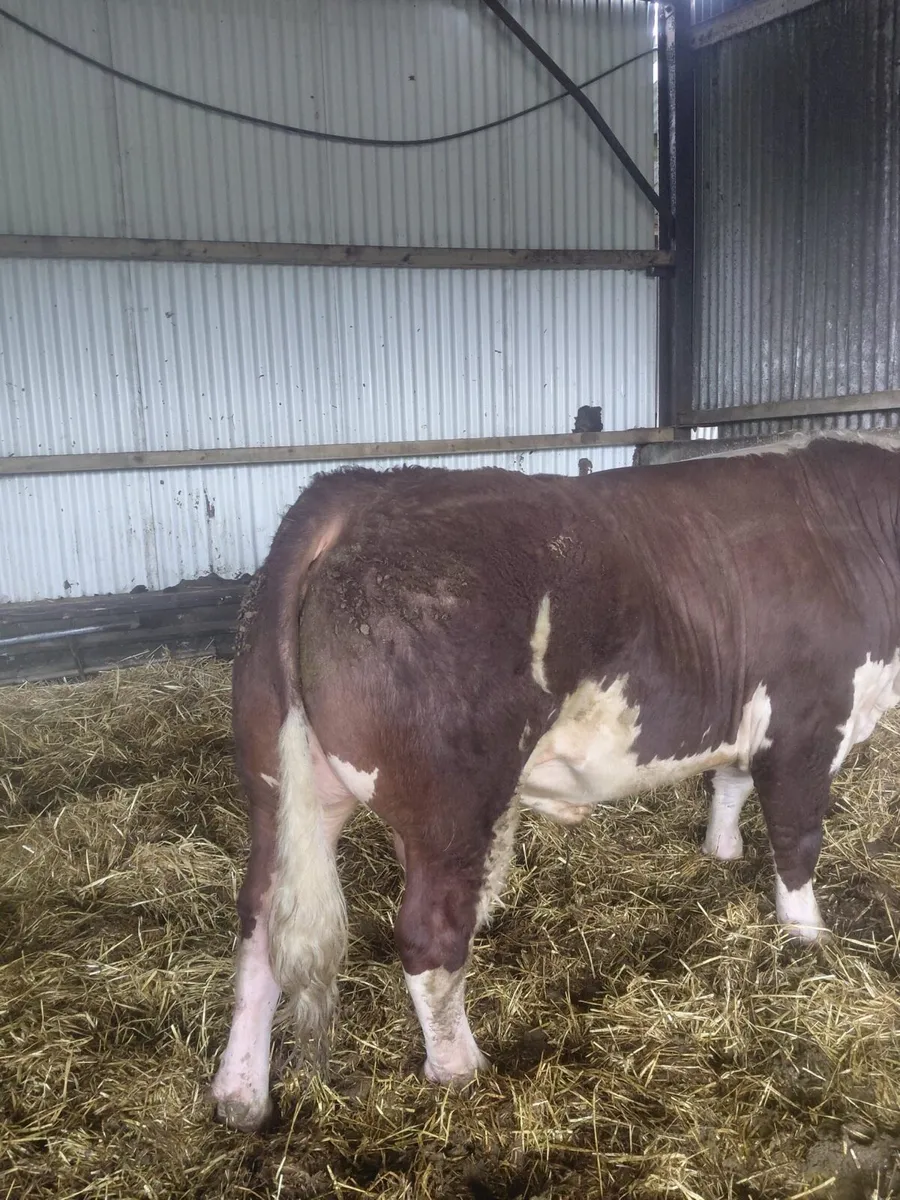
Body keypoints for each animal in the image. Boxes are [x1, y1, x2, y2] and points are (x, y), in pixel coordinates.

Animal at [210, 430, 900, 1132]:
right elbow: (796, 837)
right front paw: (808, 938)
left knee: (260, 920)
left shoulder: (749, 715)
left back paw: (240, 1094)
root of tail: (357, 491)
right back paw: (461, 1069)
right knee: (430, 933)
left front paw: (722, 851)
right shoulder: (808, 721)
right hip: (453, 806)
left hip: (281, 783)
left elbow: (730, 783)